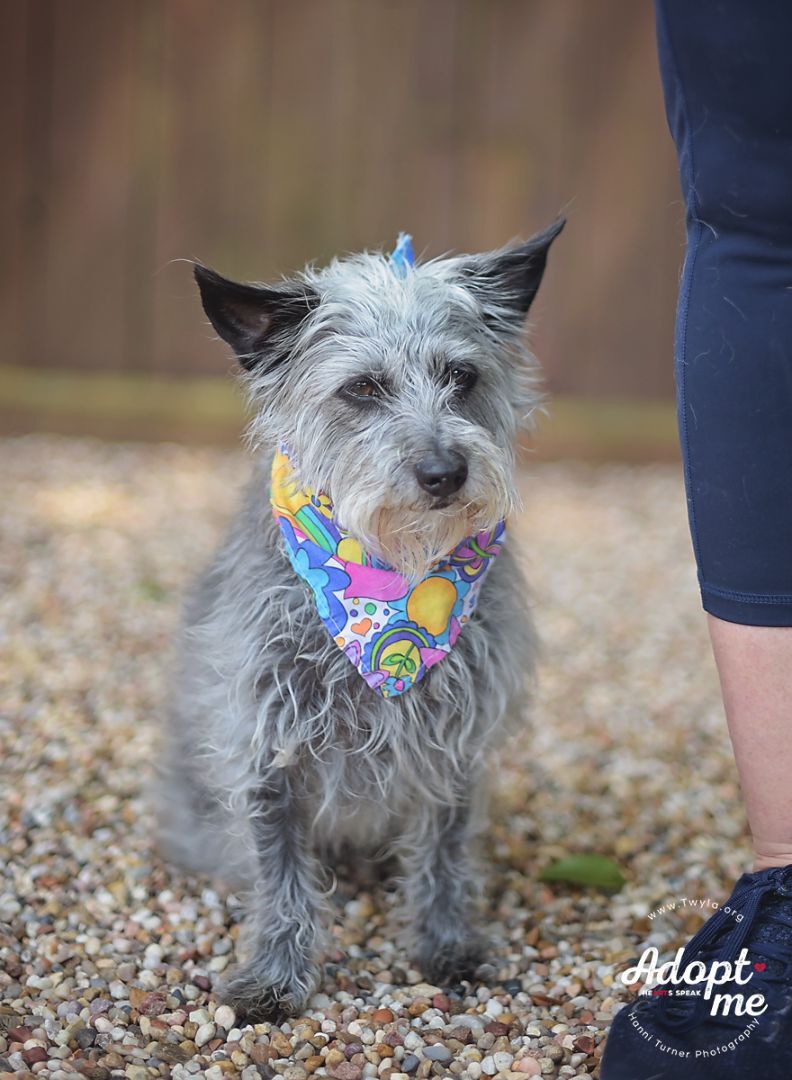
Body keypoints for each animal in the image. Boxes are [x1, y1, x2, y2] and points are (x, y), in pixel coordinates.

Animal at [157, 221, 564, 1021]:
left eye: (461, 376)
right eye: (363, 388)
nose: (444, 473)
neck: (391, 585)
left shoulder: (454, 747)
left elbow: (443, 853)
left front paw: (445, 944)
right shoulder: (266, 748)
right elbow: (281, 874)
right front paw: (276, 975)